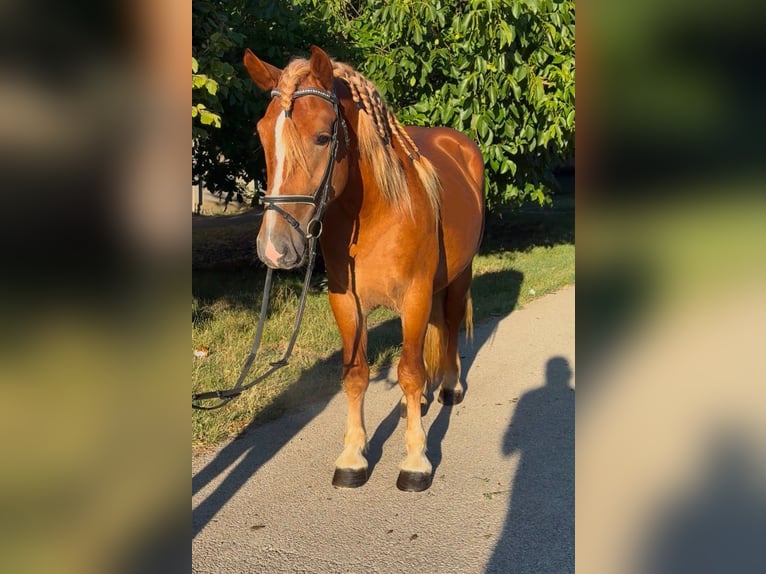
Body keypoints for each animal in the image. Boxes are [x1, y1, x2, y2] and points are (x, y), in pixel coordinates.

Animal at [243, 45, 485, 491]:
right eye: (262, 134)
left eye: (323, 136)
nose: (274, 248)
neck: (376, 212)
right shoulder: (346, 302)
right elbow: (357, 374)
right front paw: (353, 456)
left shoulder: (415, 296)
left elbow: (409, 371)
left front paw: (415, 460)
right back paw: (418, 401)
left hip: (459, 276)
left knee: (449, 325)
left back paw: (449, 387)